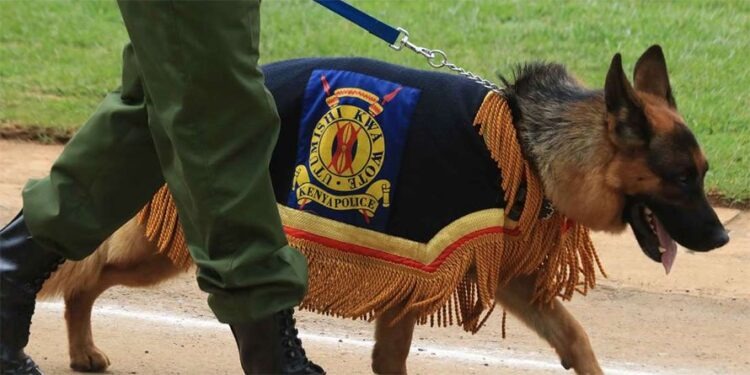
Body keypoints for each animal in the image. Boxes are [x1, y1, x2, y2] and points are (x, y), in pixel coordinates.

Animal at [39, 45, 728, 374]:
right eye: (679, 179)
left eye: (703, 177)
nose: (723, 240)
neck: (534, 142)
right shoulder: (419, 274)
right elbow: (391, 360)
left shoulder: (509, 279)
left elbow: (576, 339)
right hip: (166, 247)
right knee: (81, 275)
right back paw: (75, 341)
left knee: (85, 274)